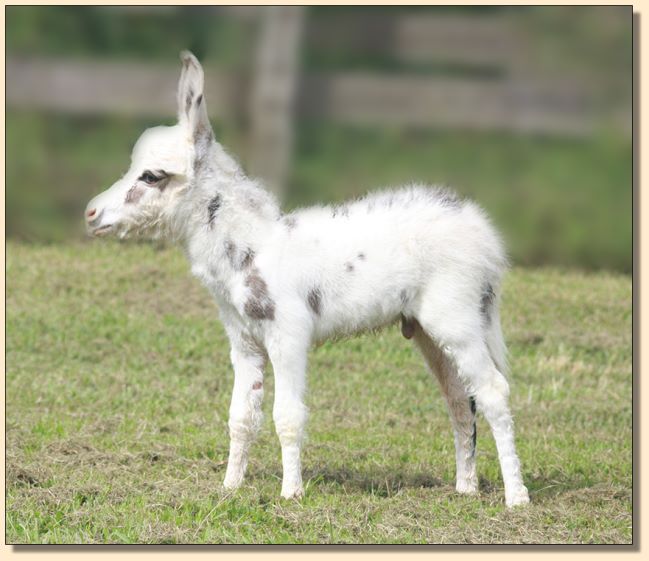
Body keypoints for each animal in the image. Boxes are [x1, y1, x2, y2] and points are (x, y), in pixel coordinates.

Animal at [86, 53, 528, 508]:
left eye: (151, 176)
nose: (91, 214)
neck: (255, 246)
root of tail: (482, 233)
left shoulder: (288, 336)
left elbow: (287, 416)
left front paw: (290, 493)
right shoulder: (244, 342)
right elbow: (241, 417)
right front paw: (230, 486)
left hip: (456, 321)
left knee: (493, 391)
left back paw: (517, 497)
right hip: (428, 330)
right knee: (460, 399)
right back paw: (465, 487)